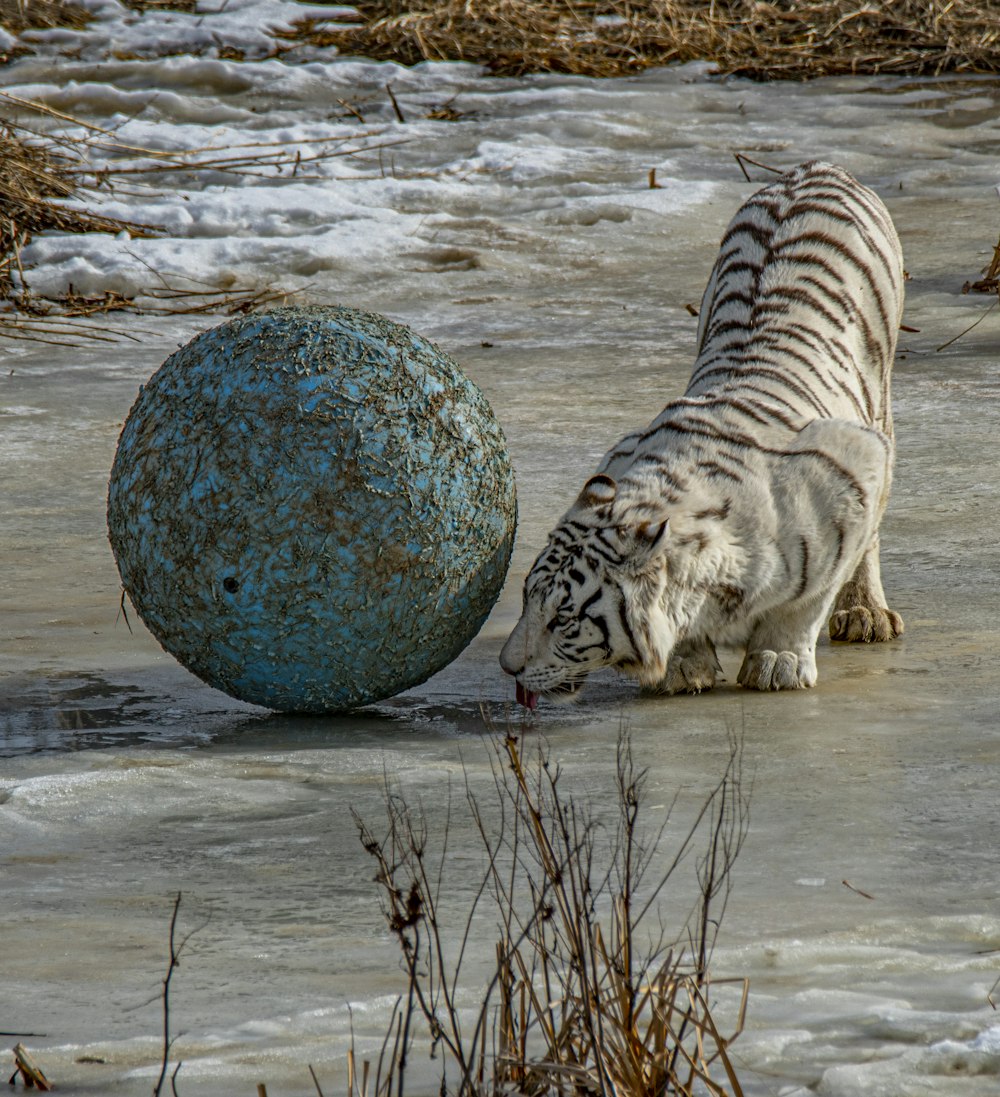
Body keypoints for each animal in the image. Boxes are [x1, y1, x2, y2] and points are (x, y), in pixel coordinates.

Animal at [500, 162, 907, 710]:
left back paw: (865, 613)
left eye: (564, 619)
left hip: (879, 405)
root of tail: (813, 168)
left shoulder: (854, 467)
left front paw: (777, 661)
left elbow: (806, 601)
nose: (508, 667)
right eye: (526, 597)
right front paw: (685, 667)